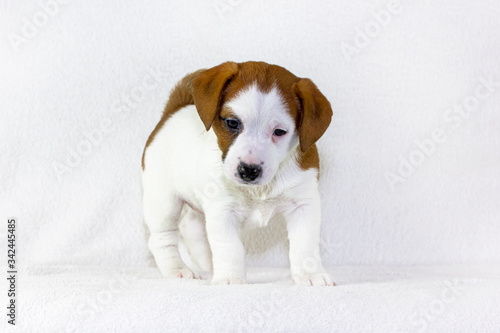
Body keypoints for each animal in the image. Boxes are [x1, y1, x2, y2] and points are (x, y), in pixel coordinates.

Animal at [143, 61, 334, 284]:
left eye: (279, 132)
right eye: (232, 123)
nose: (248, 170)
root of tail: (174, 111)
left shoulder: (303, 205)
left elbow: (305, 246)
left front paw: (310, 274)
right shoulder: (223, 210)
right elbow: (230, 248)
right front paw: (230, 278)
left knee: (191, 227)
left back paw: (208, 267)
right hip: (163, 203)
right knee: (161, 239)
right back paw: (177, 269)